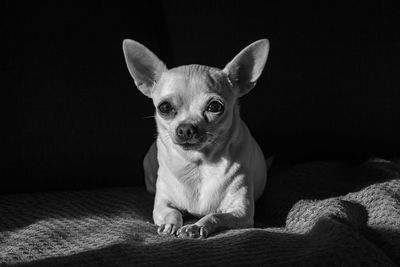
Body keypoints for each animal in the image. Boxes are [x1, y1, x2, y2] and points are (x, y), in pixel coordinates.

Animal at [123, 38, 270, 239]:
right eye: (164, 107)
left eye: (215, 106)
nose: (186, 128)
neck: (197, 164)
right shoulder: (162, 204)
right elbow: (171, 212)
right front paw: (170, 224)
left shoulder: (241, 212)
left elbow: (214, 215)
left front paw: (195, 226)